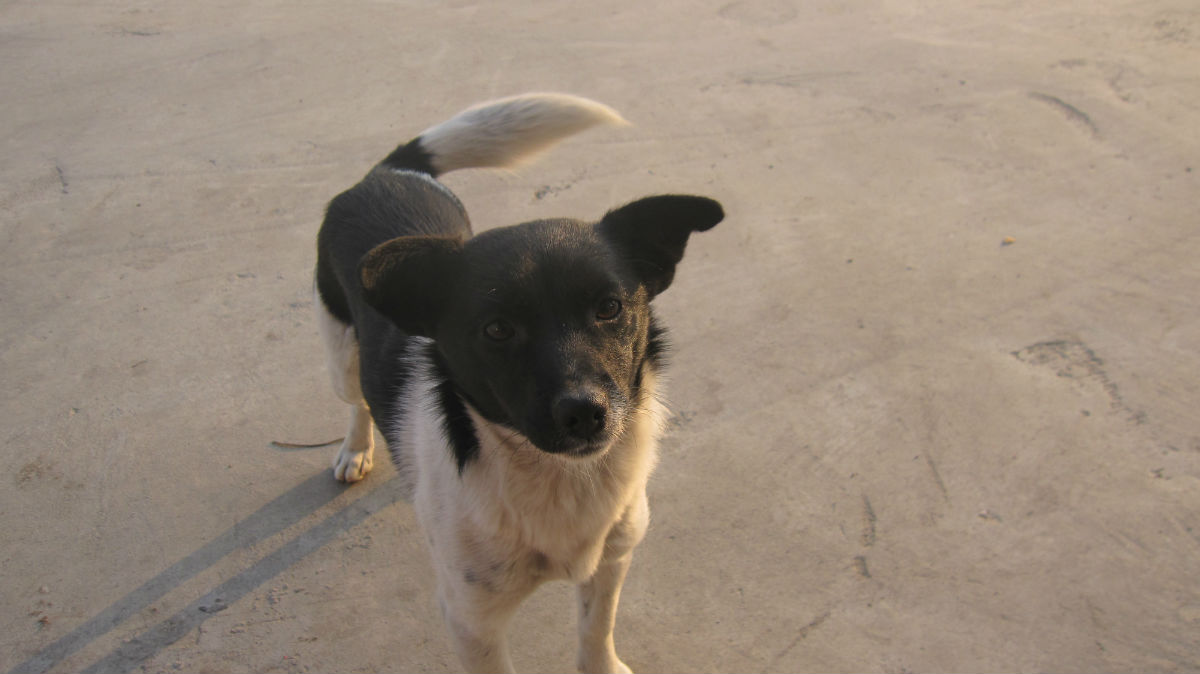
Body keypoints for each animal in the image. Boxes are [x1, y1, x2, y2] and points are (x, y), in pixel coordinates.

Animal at [313, 93, 723, 673]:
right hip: (340, 357)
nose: (585, 413)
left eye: (610, 307)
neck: (556, 476)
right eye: (497, 329)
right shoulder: (471, 618)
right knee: (357, 401)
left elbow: (596, 631)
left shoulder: (613, 557)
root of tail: (387, 173)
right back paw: (355, 449)